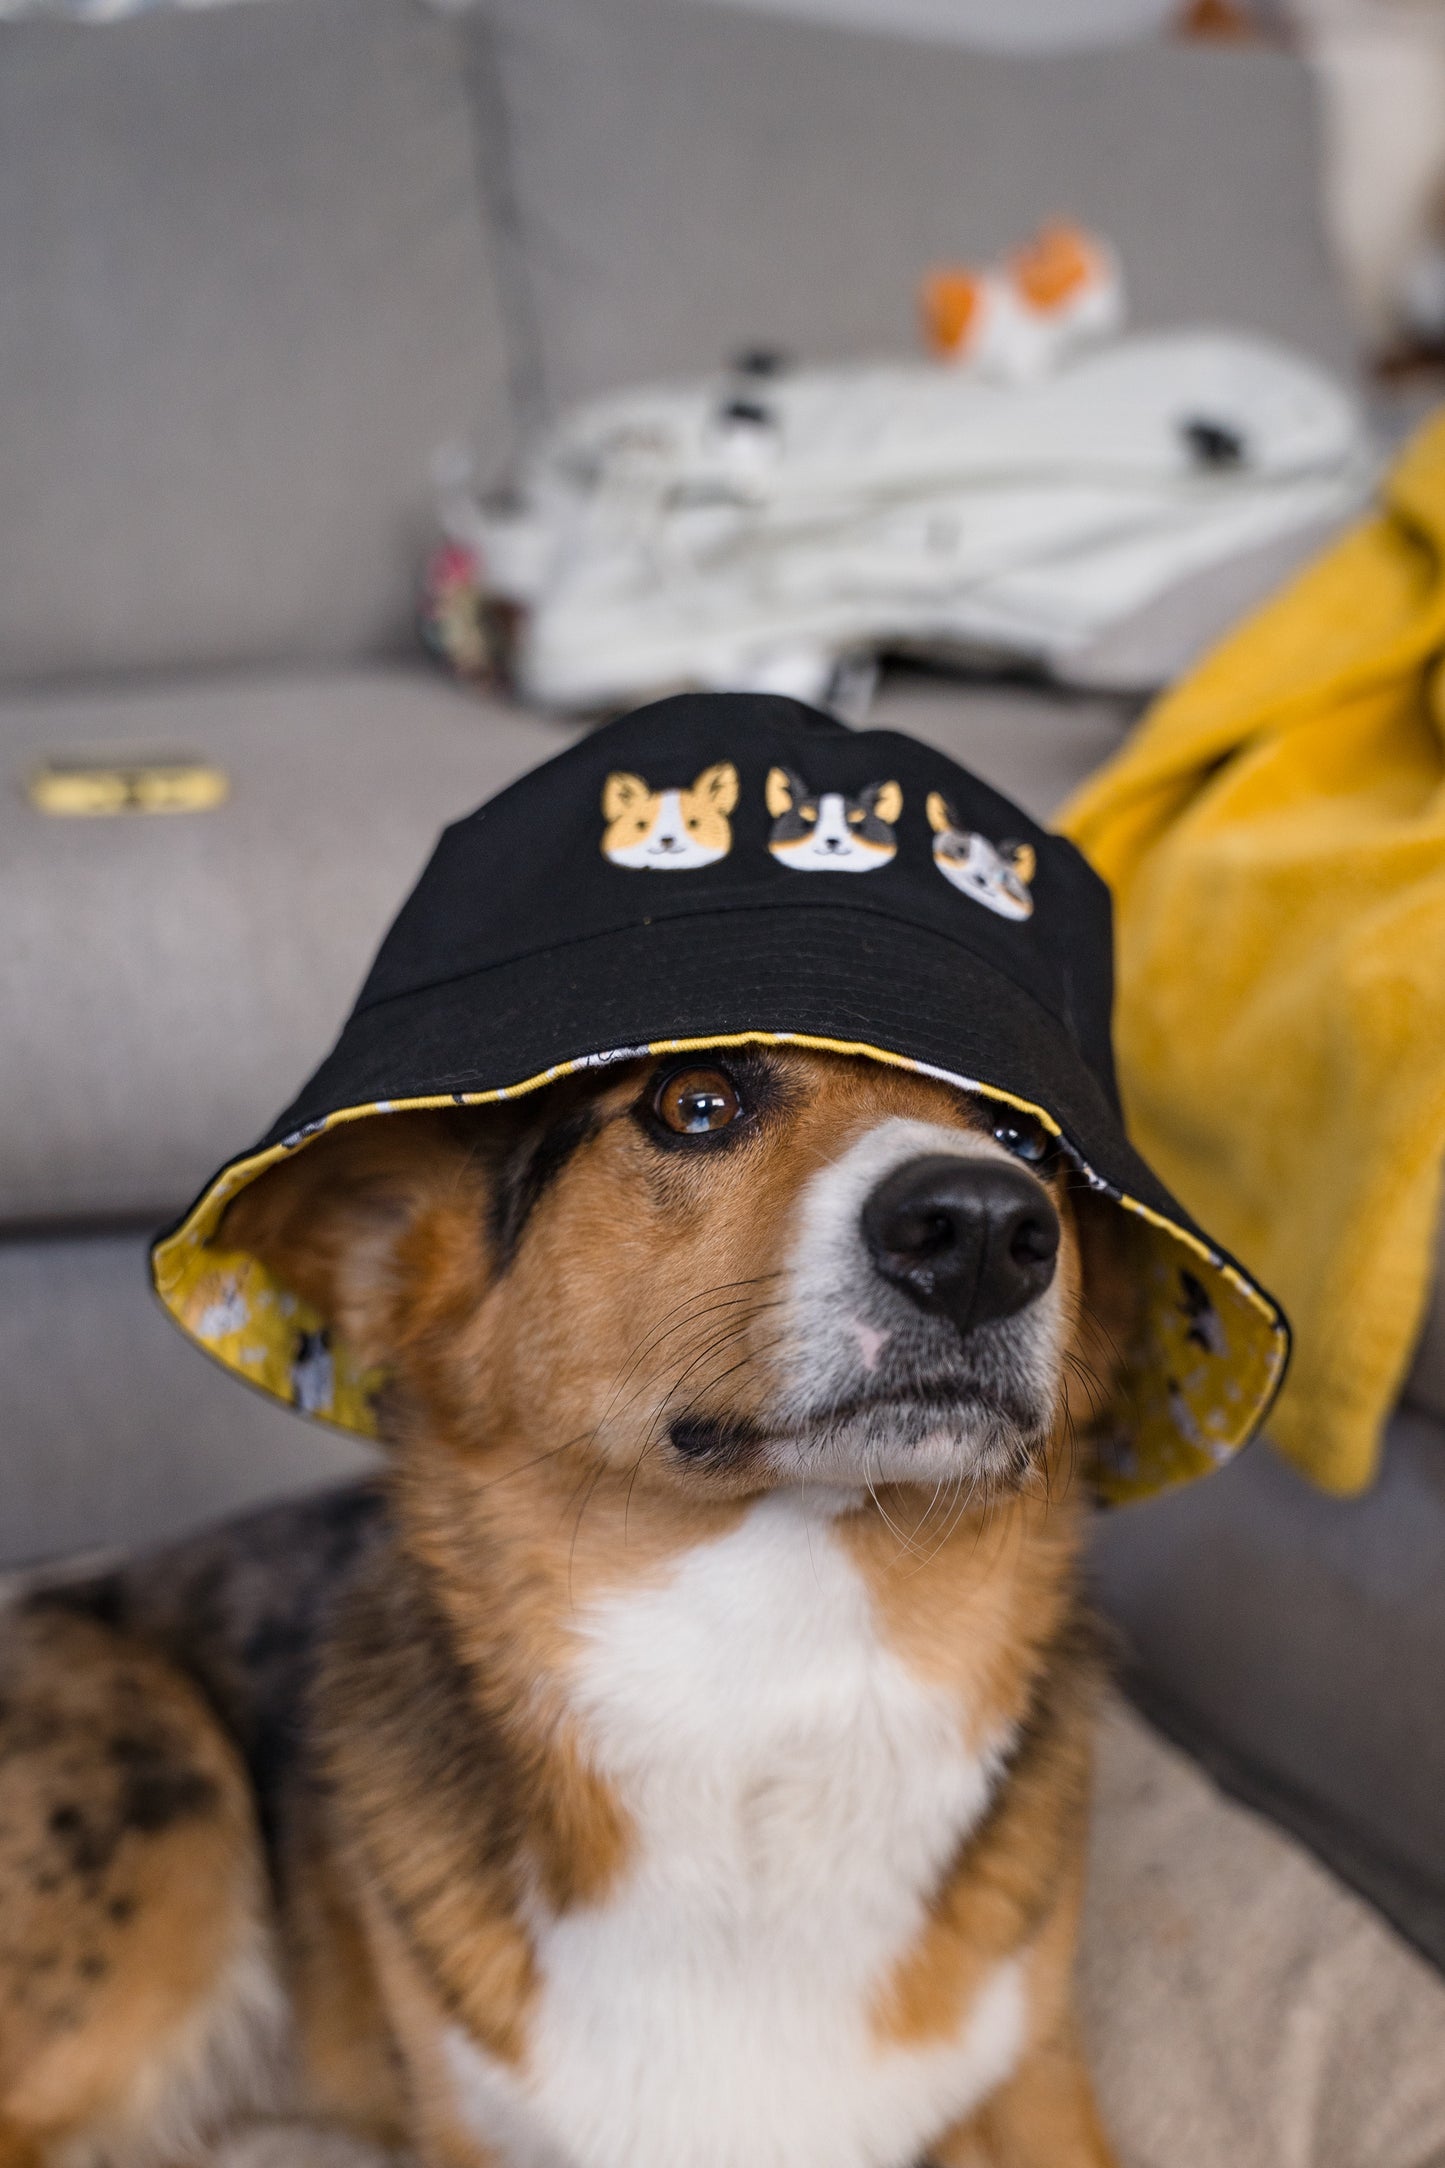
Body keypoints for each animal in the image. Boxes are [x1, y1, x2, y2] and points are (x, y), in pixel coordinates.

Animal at [0, 1040, 1126, 2168]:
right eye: (694, 1101)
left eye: (1028, 1137)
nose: (980, 1229)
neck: (776, 1666)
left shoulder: (1039, 2081)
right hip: (169, 1788)